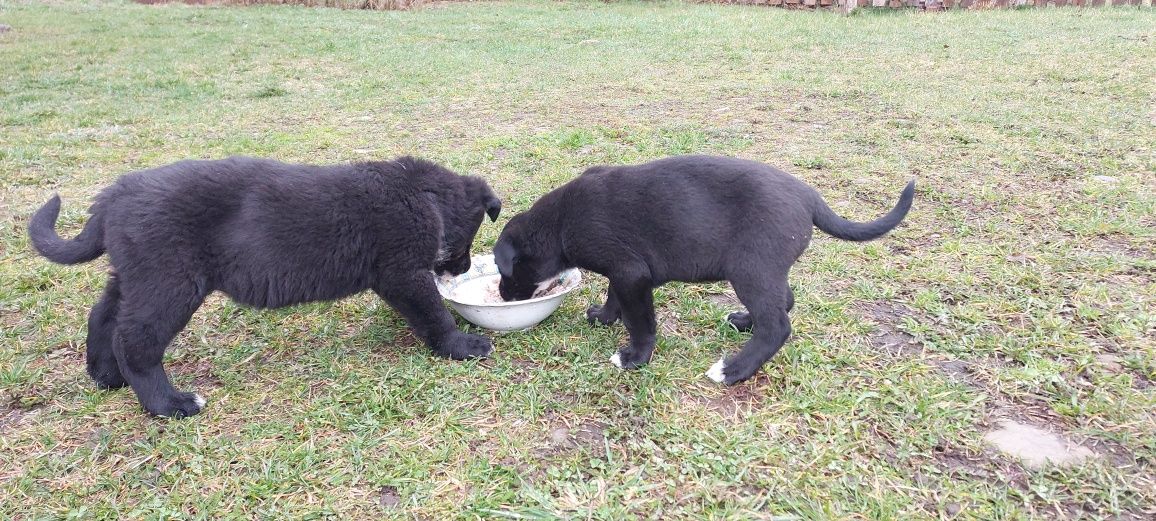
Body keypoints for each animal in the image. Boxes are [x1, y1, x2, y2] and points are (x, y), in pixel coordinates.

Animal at [28, 153, 501, 415]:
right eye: (469, 238)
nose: (462, 268)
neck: (424, 194)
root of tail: (114, 196)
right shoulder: (403, 273)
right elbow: (434, 315)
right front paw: (462, 345)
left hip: (135, 275)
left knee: (103, 316)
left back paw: (106, 376)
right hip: (169, 282)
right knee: (136, 342)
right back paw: (170, 404)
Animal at [497, 152, 910, 385]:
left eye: (506, 272)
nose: (500, 296)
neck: (560, 224)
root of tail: (810, 198)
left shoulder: (632, 274)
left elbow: (641, 321)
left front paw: (635, 358)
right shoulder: (625, 270)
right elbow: (614, 297)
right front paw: (603, 317)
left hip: (749, 270)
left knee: (777, 325)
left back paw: (733, 370)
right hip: (765, 269)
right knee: (784, 301)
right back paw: (743, 322)